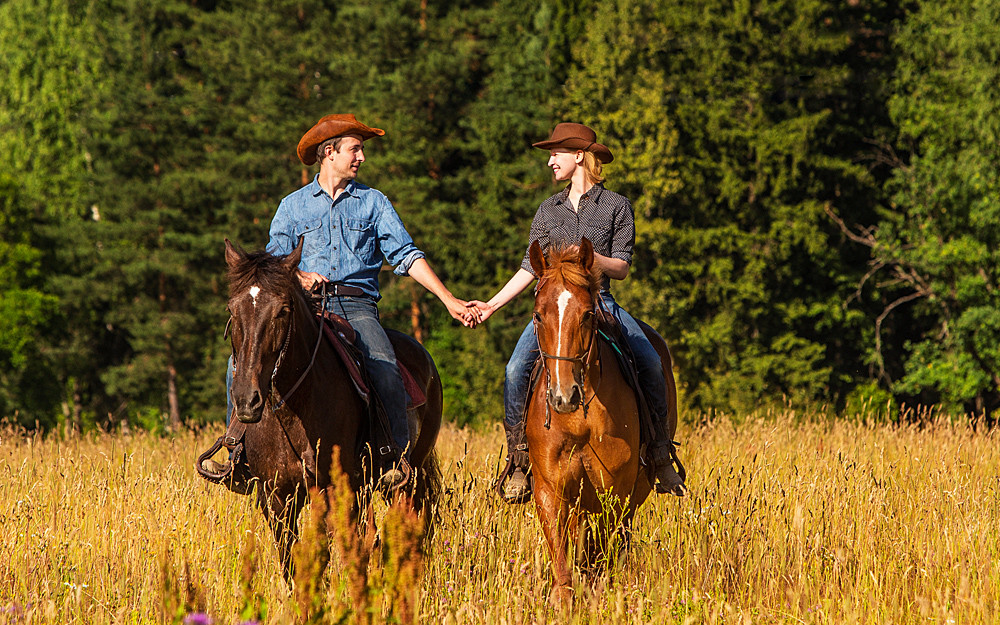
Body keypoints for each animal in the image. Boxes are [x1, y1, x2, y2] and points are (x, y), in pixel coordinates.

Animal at [215, 239, 442, 576]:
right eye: (232, 309)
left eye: (282, 310)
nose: (247, 400)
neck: (291, 411)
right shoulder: (276, 497)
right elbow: (294, 563)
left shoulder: (331, 491)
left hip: (405, 482)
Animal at [524, 236, 680, 604]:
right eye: (538, 315)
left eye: (588, 313)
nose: (564, 396)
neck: (577, 422)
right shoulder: (550, 491)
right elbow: (564, 564)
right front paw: (565, 600)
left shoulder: (615, 493)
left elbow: (600, 558)